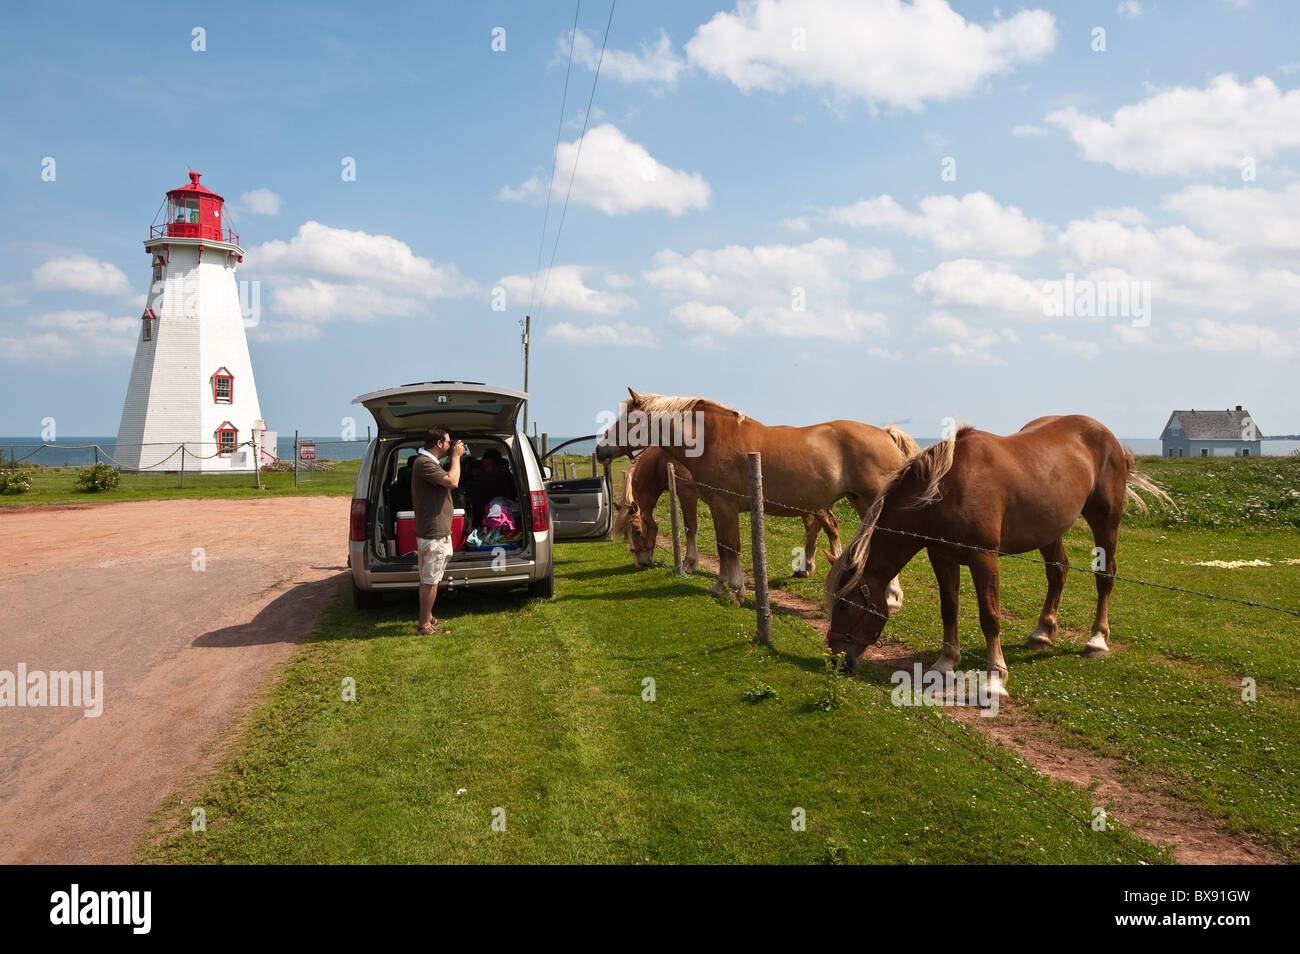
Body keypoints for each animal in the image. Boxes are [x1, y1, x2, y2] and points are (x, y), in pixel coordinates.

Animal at [611, 446, 843, 574]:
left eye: (638, 531)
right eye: (626, 535)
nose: (640, 564)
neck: (663, 459)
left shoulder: (687, 493)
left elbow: (690, 527)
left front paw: (688, 564)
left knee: (830, 525)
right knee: (813, 528)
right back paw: (806, 568)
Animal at [824, 415, 1173, 697]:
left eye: (844, 605)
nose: (836, 658)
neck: (944, 491)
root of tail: (1105, 434)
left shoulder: (984, 558)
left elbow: (990, 617)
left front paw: (995, 679)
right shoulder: (942, 556)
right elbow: (949, 609)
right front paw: (946, 662)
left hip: (1106, 521)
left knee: (1105, 576)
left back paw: (1097, 640)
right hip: (1050, 529)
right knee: (1057, 571)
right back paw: (1042, 633)